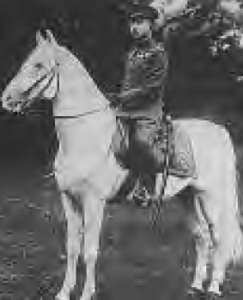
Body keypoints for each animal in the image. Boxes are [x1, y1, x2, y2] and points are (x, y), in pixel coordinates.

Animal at [0, 31, 242, 300]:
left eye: (39, 65)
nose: (7, 99)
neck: (85, 136)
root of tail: (218, 130)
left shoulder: (94, 202)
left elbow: (90, 251)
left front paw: (87, 293)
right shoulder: (69, 200)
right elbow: (72, 248)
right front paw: (64, 293)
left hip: (211, 197)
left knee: (219, 238)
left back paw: (214, 287)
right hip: (187, 196)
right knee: (202, 237)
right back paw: (196, 285)